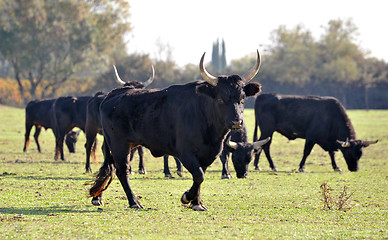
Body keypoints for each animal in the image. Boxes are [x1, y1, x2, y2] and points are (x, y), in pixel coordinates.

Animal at [90, 50, 266, 210]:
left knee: (109, 167)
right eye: (221, 99)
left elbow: (200, 176)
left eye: (242, 99)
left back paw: (98, 198)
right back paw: (134, 202)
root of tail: (112, 94)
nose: (236, 121)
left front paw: (197, 202)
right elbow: (199, 175)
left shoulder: (208, 155)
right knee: (121, 171)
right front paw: (187, 197)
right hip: (119, 145)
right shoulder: (185, 153)